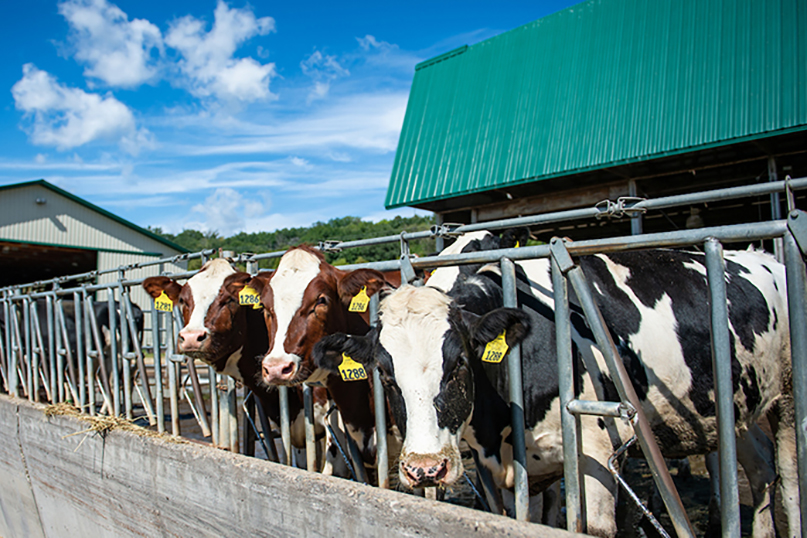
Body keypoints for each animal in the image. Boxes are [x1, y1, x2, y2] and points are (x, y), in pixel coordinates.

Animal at [312, 244, 800, 536]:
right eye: (385, 374)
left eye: (460, 364)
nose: (425, 470)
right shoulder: (498, 467)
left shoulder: (596, 452)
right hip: (737, 408)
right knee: (760, 472)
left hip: (789, 397)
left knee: (790, 475)